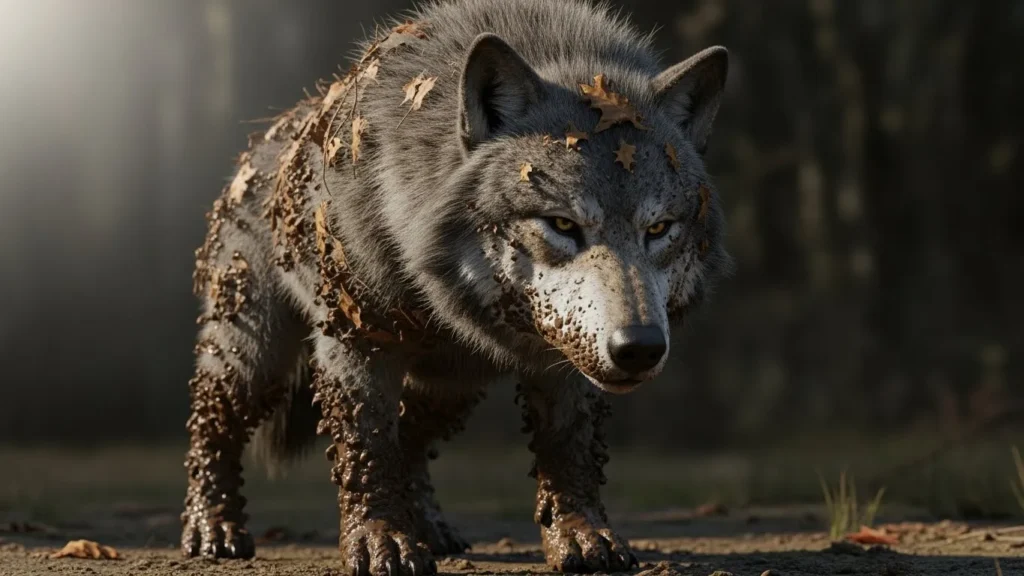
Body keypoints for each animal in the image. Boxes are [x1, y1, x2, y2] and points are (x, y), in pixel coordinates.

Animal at [181, 0, 729, 573]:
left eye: (659, 229)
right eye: (562, 224)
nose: (640, 347)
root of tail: (264, 139)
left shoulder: (568, 358)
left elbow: (568, 449)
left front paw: (581, 534)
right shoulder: (355, 341)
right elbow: (366, 450)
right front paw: (379, 539)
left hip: (451, 386)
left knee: (410, 435)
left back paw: (431, 528)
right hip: (254, 360)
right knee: (211, 427)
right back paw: (212, 528)